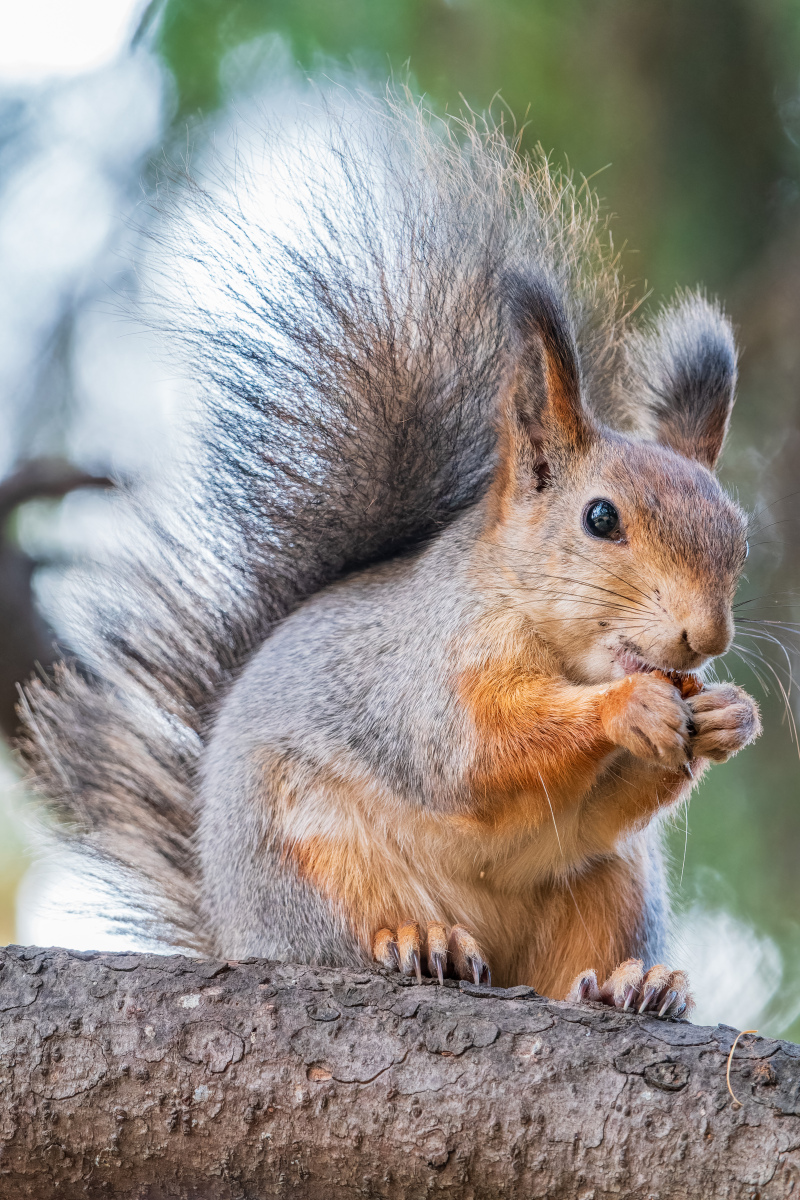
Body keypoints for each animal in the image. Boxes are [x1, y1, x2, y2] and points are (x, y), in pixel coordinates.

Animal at [15, 82, 762, 1012]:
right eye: (600, 519)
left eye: (738, 534)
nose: (706, 635)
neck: (556, 643)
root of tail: (233, 928)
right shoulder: (427, 684)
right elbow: (482, 753)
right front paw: (627, 708)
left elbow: (600, 808)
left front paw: (729, 714)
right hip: (312, 858)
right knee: (353, 926)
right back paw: (419, 940)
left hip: (609, 887)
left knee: (574, 963)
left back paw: (630, 984)